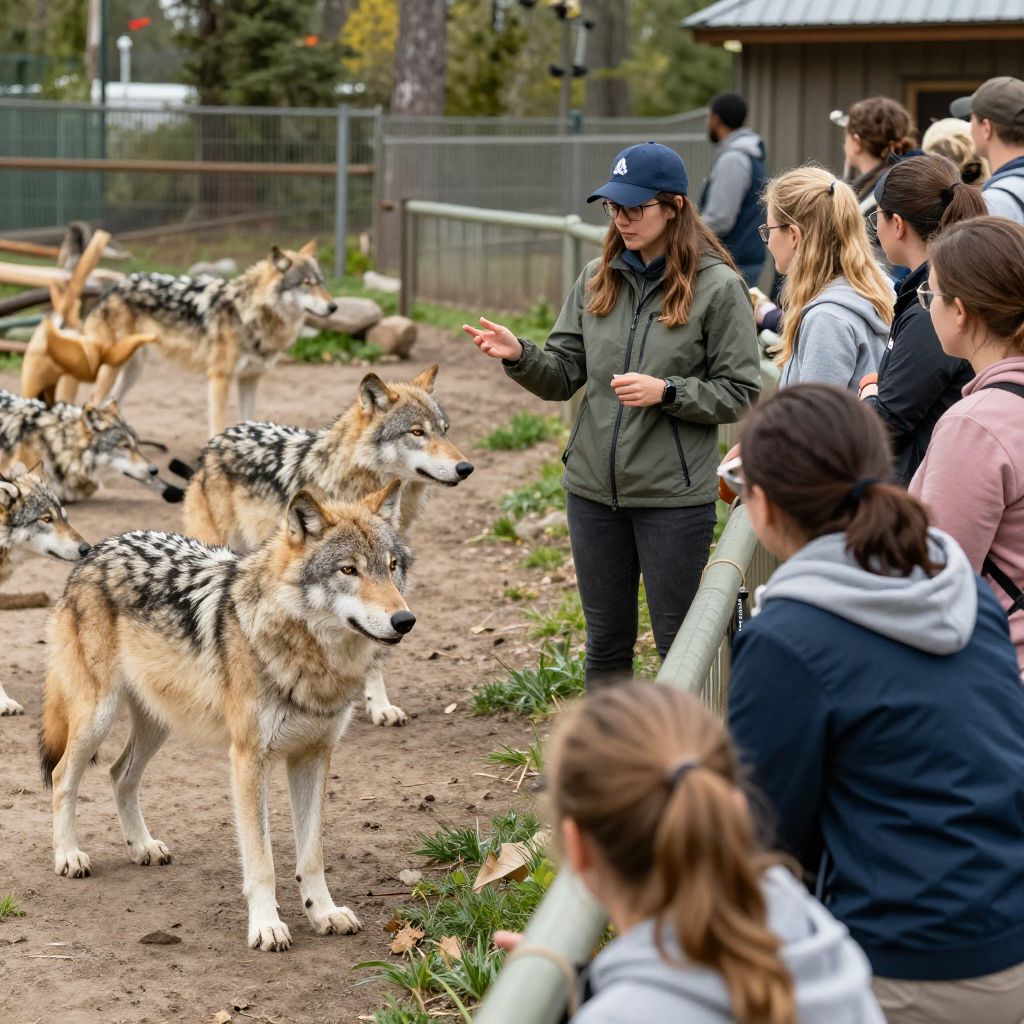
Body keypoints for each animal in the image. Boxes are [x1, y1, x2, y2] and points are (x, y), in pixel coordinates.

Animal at [40, 482, 414, 951]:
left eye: (391, 567)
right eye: (349, 570)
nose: (405, 619)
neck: (307, 657)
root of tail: (95, 551)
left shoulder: (313, 756)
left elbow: (312, 855)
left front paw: (323, 913)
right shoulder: (248, 759)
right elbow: (262, 861)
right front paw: (266, 926)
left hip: (158, 723)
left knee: (118, 774)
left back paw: (142, 847)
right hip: (97, 717)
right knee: (62, 777)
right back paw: (68, 855)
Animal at [84, 241, 337, 438]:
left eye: (321, 282)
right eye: (306, 283)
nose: (334, 307)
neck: (248, 313)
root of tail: (112, 286)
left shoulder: (250, 379)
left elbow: (248, 418)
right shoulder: (219, 377)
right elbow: (218, 424)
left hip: (132, 370)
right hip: (114, 367)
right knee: (92, 403)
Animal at [182, 364, 473, 726]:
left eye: (445, 431)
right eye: (417, 432)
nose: (466, 467)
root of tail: (218, 439)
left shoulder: (385, 588)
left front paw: (379, 704)